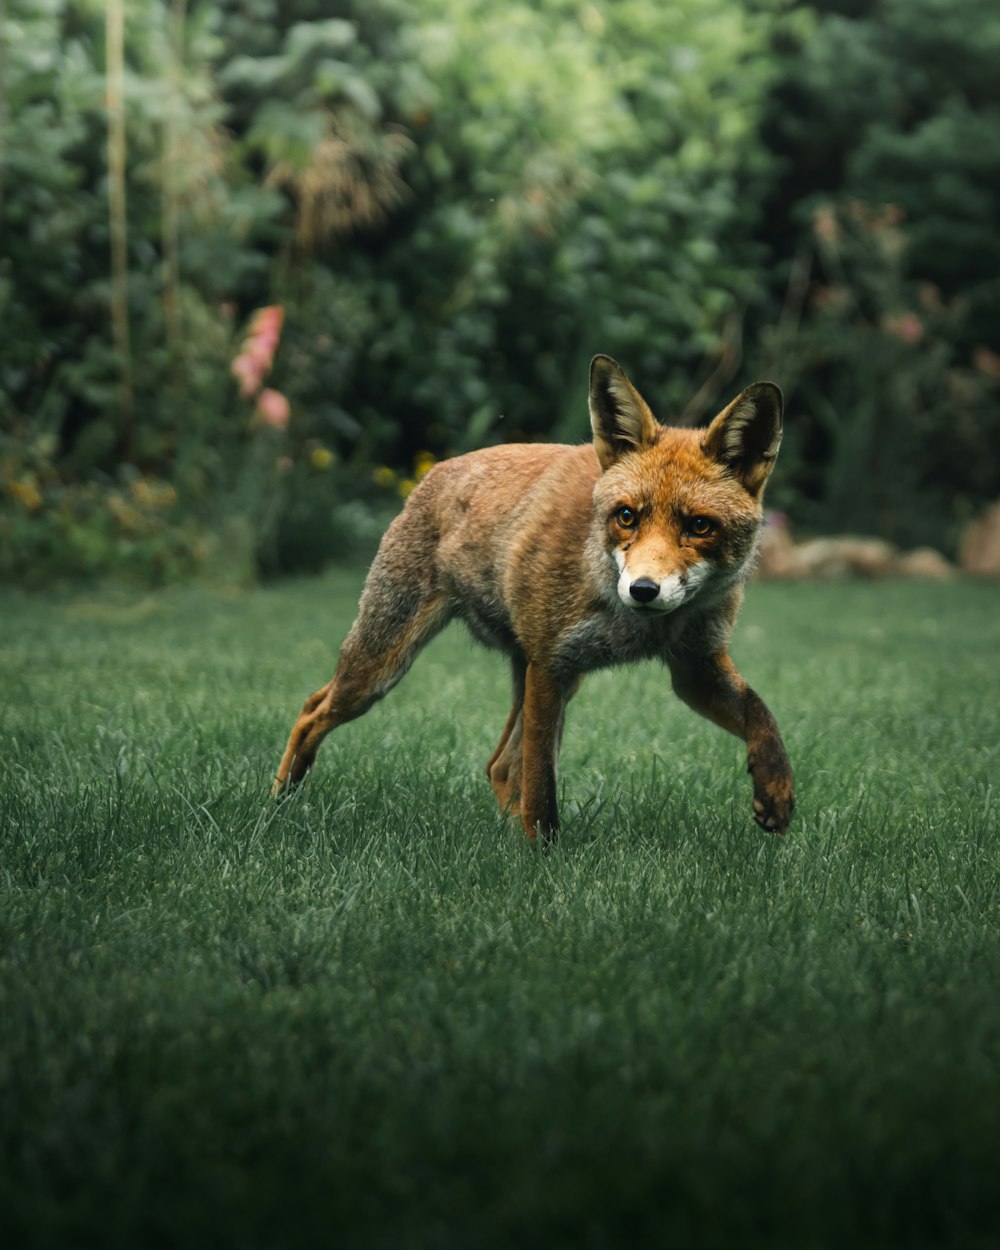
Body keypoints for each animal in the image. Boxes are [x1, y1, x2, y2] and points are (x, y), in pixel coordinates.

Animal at [270, 352, 795, 840]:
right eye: (627, 517)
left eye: (700, 526)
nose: (643, 590)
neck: (643, 627)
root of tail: (439, 468)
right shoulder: (549, 664)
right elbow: (541, 788)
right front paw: (543, 858)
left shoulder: (695, 666)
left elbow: (762, 715)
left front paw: (776, 790)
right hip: (383, 664)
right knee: (313, 708)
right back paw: (279, 802)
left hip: (550, 678)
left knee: (500, 765)